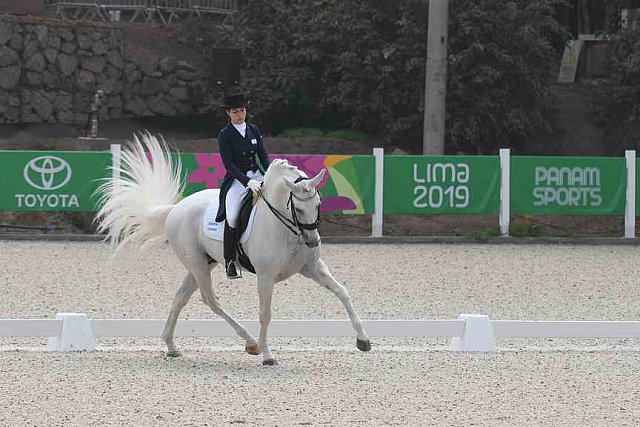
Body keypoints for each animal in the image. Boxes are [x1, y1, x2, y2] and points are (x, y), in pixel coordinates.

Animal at [97, 135, 372, 368]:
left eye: (318, 204)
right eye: (299, 208)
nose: (312, 241)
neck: (286, 228)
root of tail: (176, 208)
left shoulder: (312, 267)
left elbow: (342, 292)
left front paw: (363, 340)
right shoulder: (265, 277)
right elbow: (265, 314)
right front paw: (268, 355)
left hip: (203, 263)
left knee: (180, 298)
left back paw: (171, 346)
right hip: (197, 264)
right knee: (210, 300)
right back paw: (251, 344)